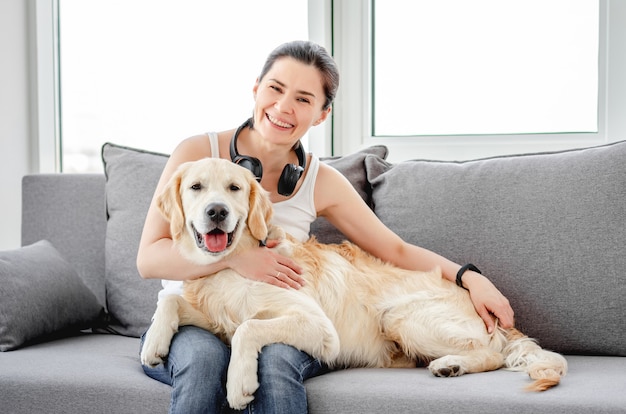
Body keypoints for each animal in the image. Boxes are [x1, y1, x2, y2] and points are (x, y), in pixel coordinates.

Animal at [140, 157, 564, 410]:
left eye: (234, 188)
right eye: (196, 187)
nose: (217, 212)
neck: (231, 265)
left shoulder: (319, 327)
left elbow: (248, 328)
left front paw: (239, 384)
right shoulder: (214, 313)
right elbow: (172, 302)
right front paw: (155, 343)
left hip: (400, 317)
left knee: (491, 355)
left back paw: (450, 364)